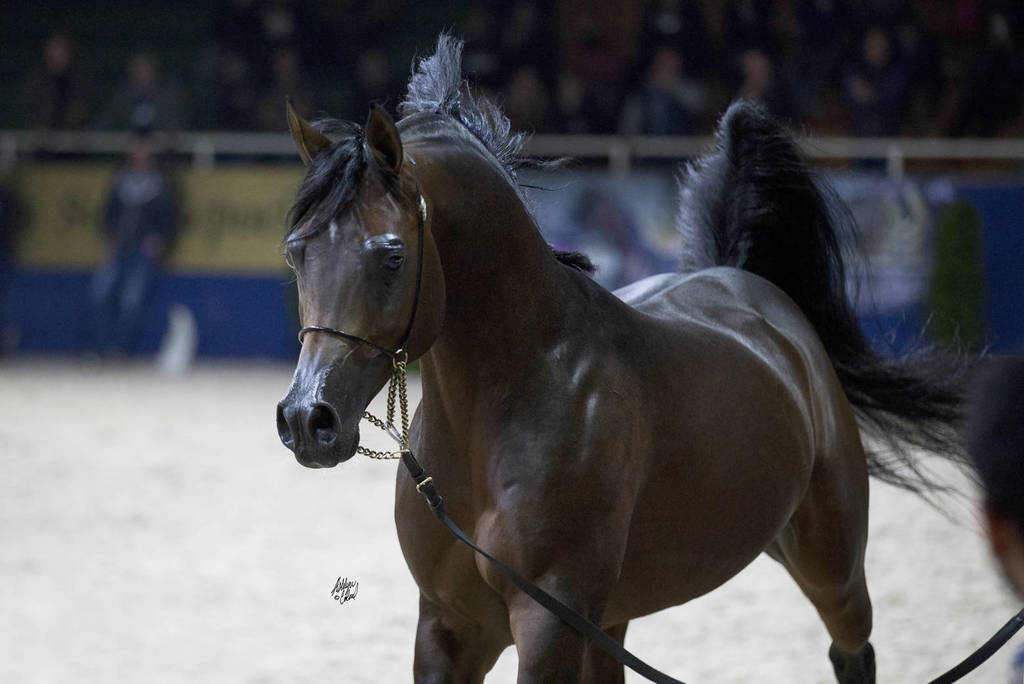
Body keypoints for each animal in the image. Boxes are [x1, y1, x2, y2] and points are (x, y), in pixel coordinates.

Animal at [275, 35, 969, 683]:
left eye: (391, 255)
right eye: (295, 252)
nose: (309, 420)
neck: (517, 396)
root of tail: (750, 288)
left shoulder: (549, 626)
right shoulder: (448, 625)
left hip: (831, 567)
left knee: (852, 648)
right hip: (613, 619)